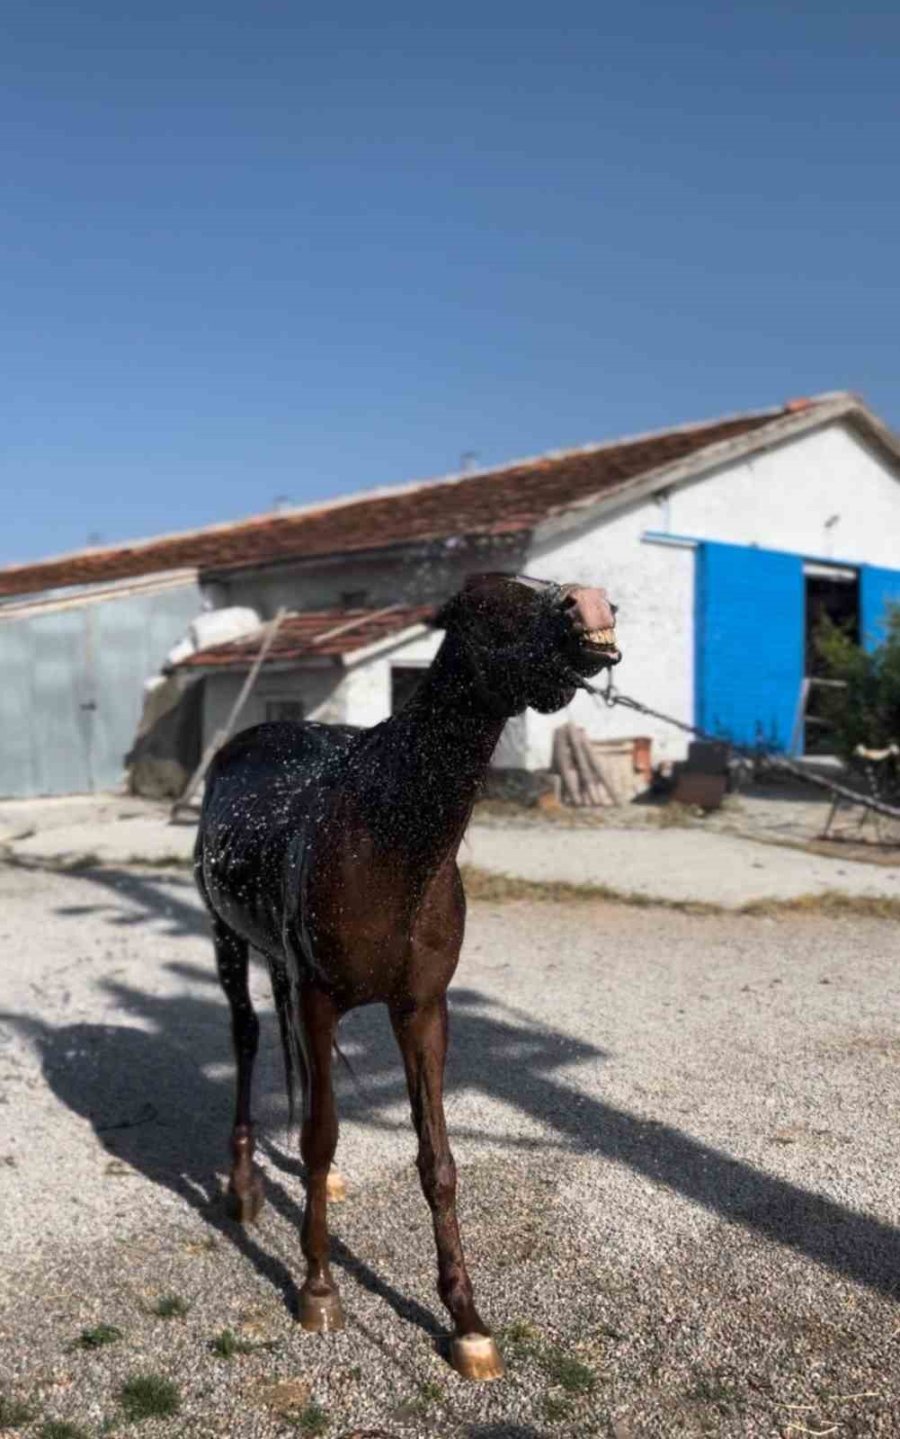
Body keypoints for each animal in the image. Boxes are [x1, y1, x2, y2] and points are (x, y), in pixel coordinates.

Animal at [194, 566, 616, 1375]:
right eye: (486, 611)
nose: (590, 607)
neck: (384, 843)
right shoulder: (320, 995)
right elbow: (320, 1133)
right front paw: (318, 1287)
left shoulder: (422, 1007)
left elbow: (436, 1159)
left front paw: (467, 1321)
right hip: (226, 940)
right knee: (245, 1039)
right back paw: (243, 1185)